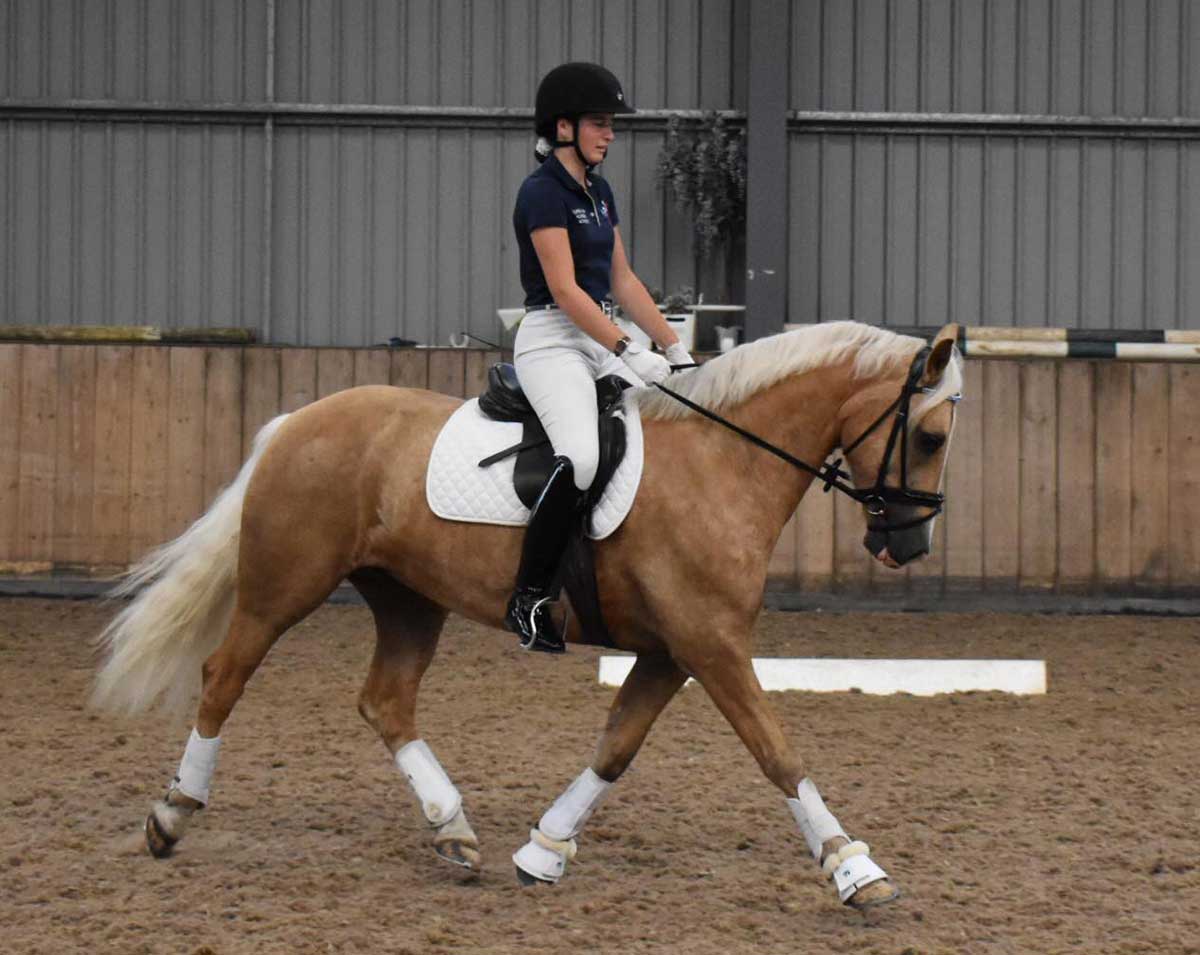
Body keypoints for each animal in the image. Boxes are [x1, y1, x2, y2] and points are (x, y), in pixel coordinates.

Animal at [93, 319, 964, 911]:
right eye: (928, 435)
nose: (909, 543)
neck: (722, 462)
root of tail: (294, 422)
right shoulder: (711, 644)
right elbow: (776, 751)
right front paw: (855, 867)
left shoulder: (672, 650)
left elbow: (617, 746)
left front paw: (544, 849)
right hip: (287, 583)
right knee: (224, 675)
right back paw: (172, 813)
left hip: (409, 598)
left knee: (386, 699)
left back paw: (453, 828)